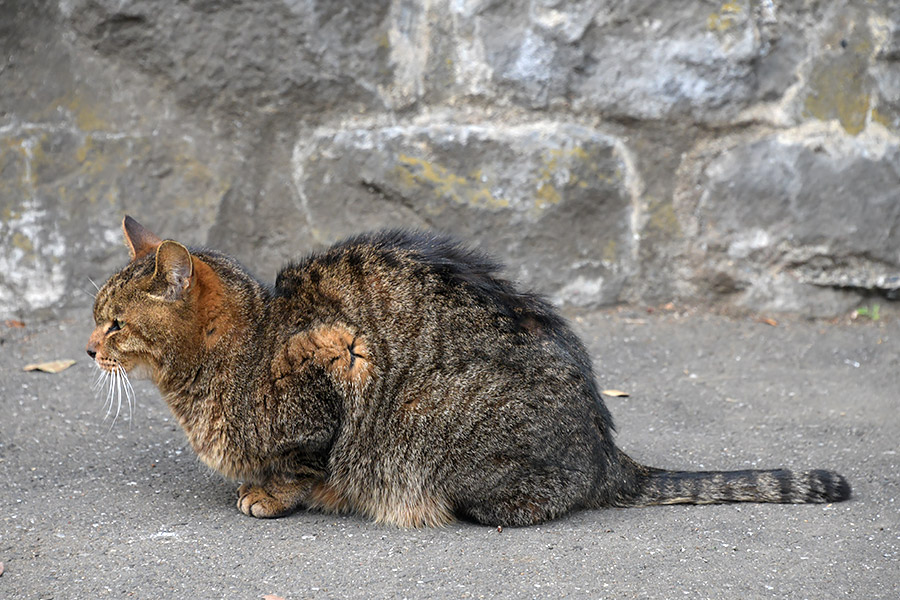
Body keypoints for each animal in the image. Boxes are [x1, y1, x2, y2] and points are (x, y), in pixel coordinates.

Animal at [86, 218, 852, 528]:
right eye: (97, 317)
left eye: (115, 323)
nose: (89, 348)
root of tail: (608, 453)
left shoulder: (340, 357)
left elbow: (305, 463)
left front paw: (273, 494)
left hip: (449, 439)